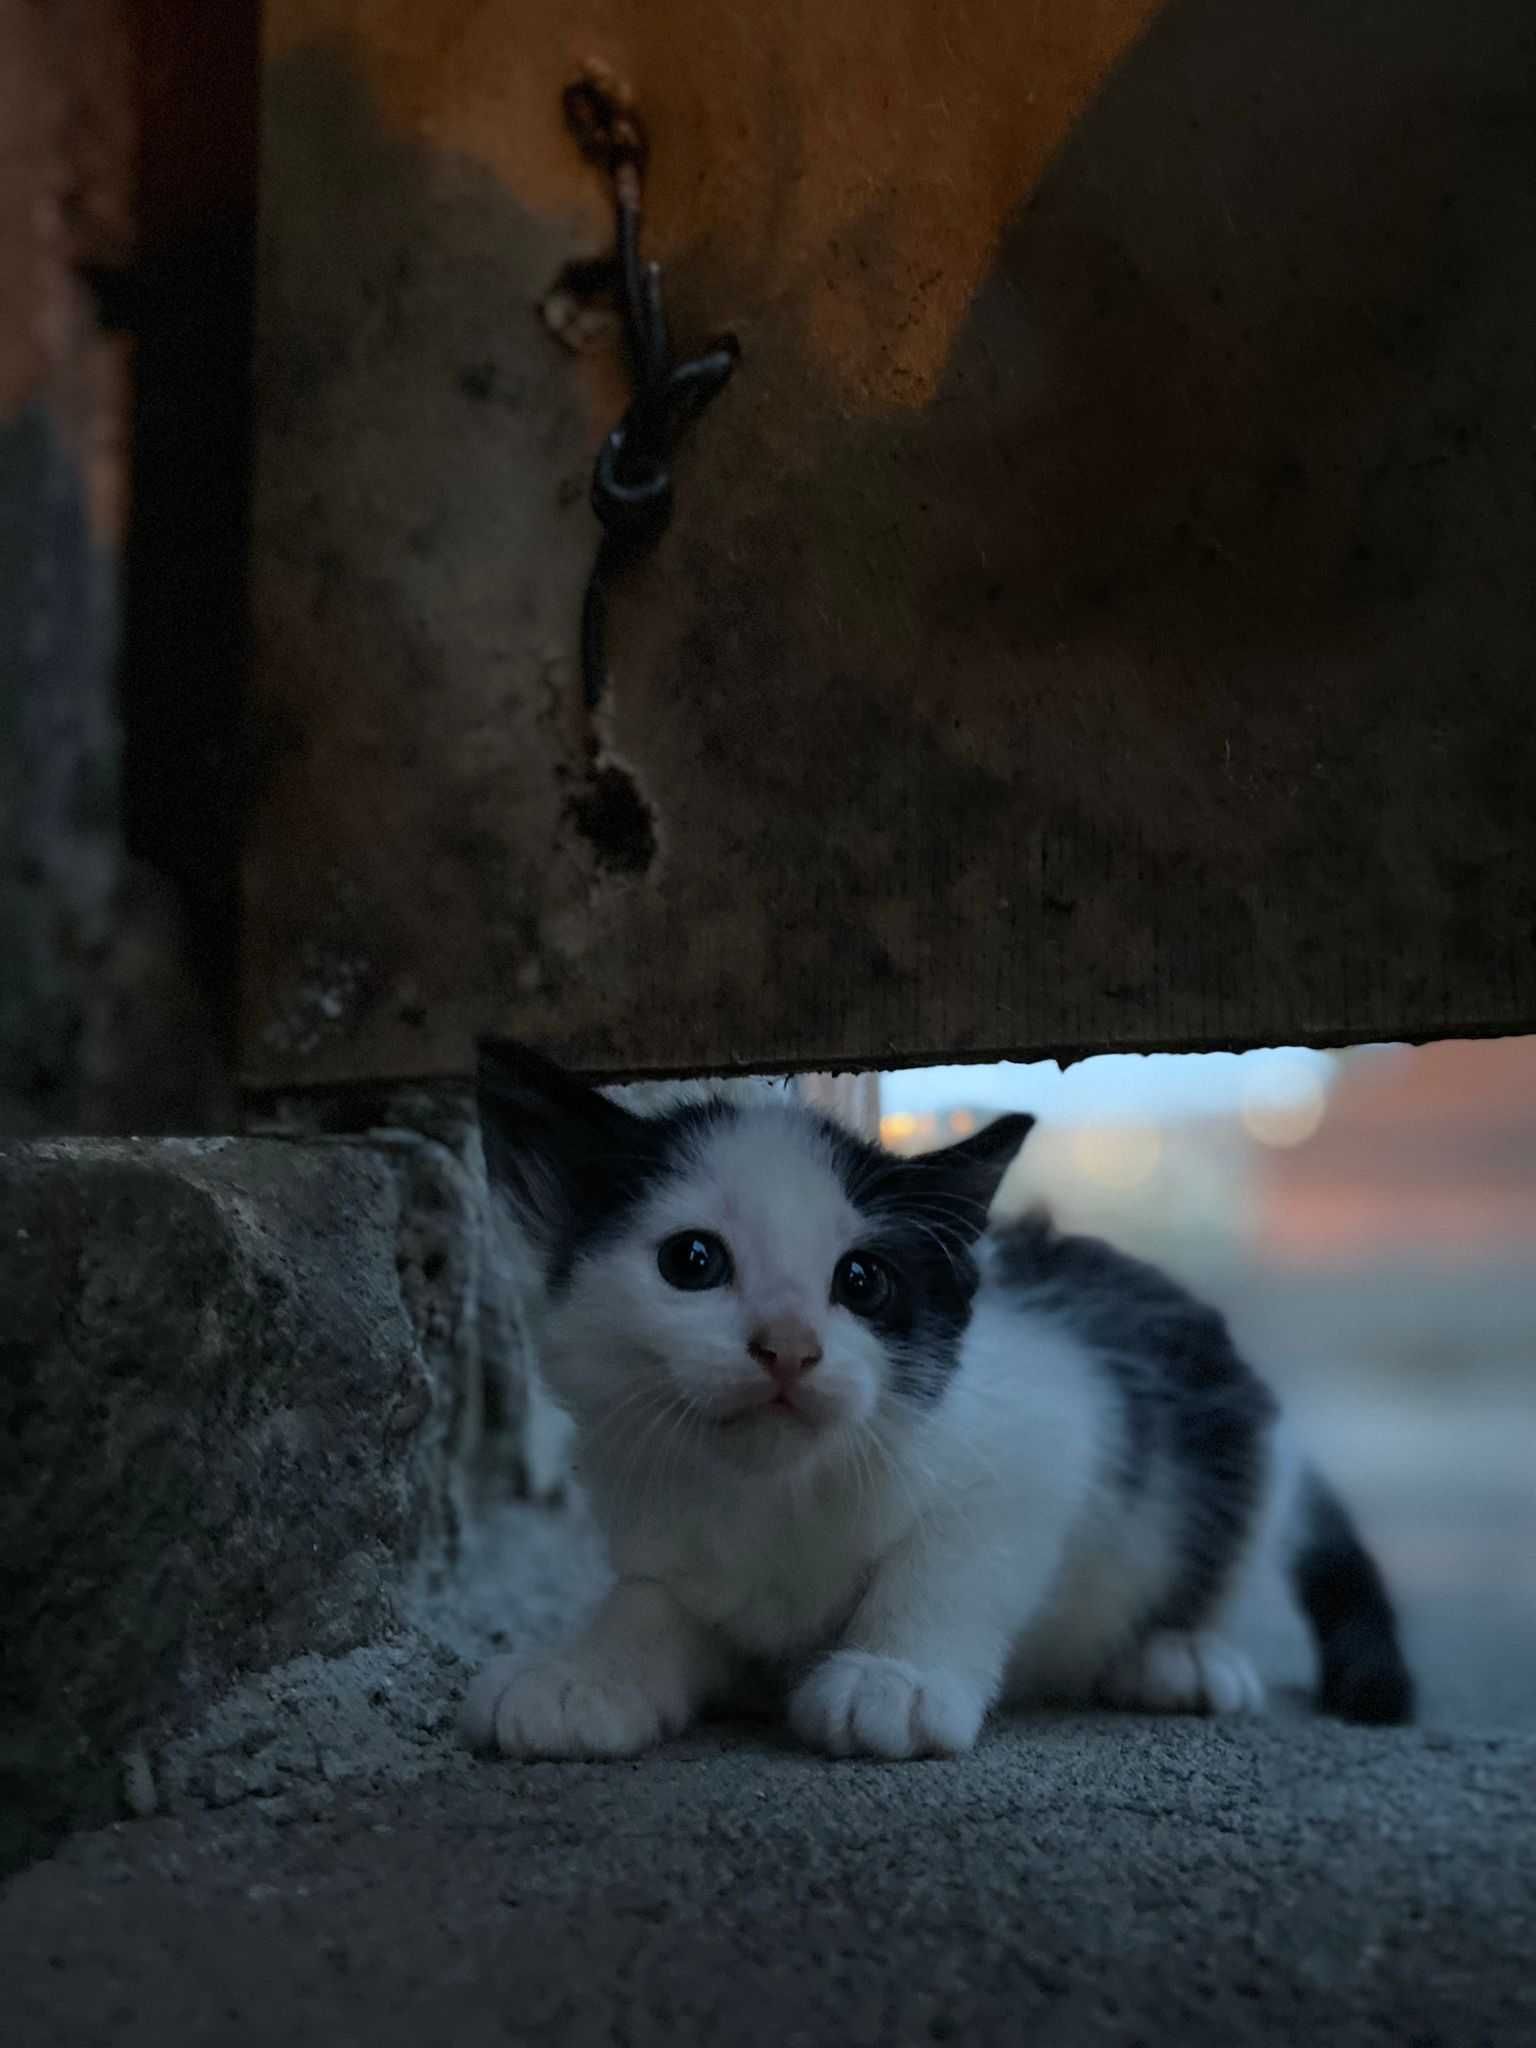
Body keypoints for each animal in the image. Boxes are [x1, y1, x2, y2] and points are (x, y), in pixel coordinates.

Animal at [460, 1040, 1417, 1761]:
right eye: (691, 1262)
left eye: (862, 1280)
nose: (788, 1347)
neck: (779, 1493)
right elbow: (652, 1599)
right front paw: (587, 1672)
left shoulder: (1050, 1427)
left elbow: (954, 1556)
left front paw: (896, 1677)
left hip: (1234, 1442)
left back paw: (1182, 1653)